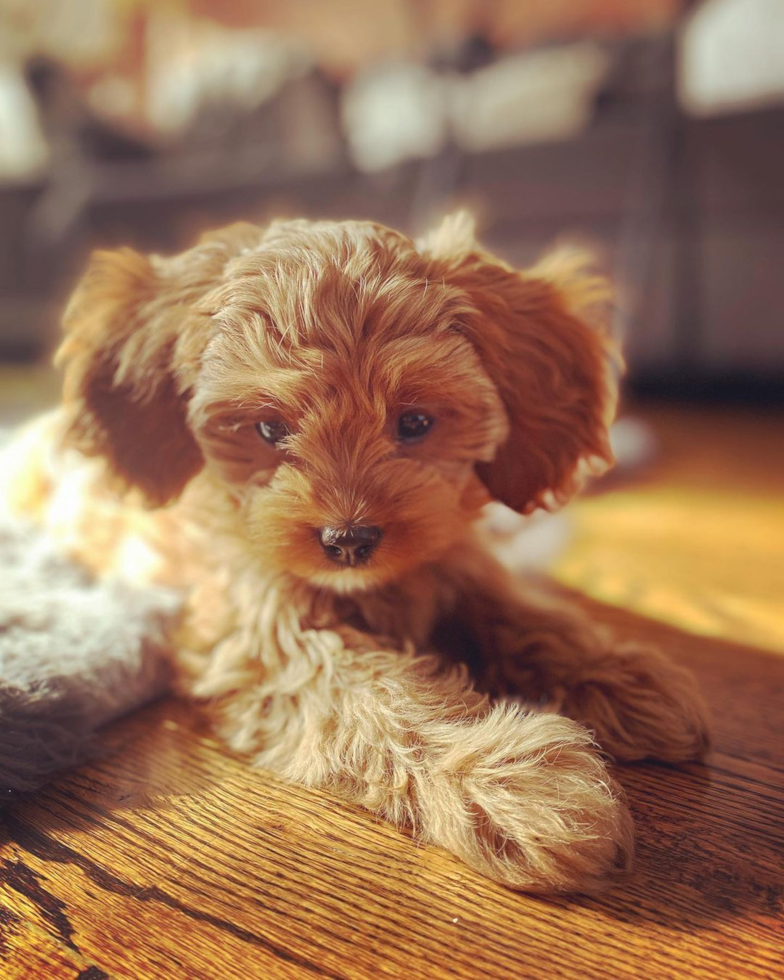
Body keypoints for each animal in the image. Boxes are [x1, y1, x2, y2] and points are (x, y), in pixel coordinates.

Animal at [4, 216, 712, 896]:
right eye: (269, 429)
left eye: (416, 423)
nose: (348, 540)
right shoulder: (269, 634)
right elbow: (381, 698)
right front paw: (513, 785)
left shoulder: (451, 558)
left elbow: (517, 614)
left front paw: (620, 677)